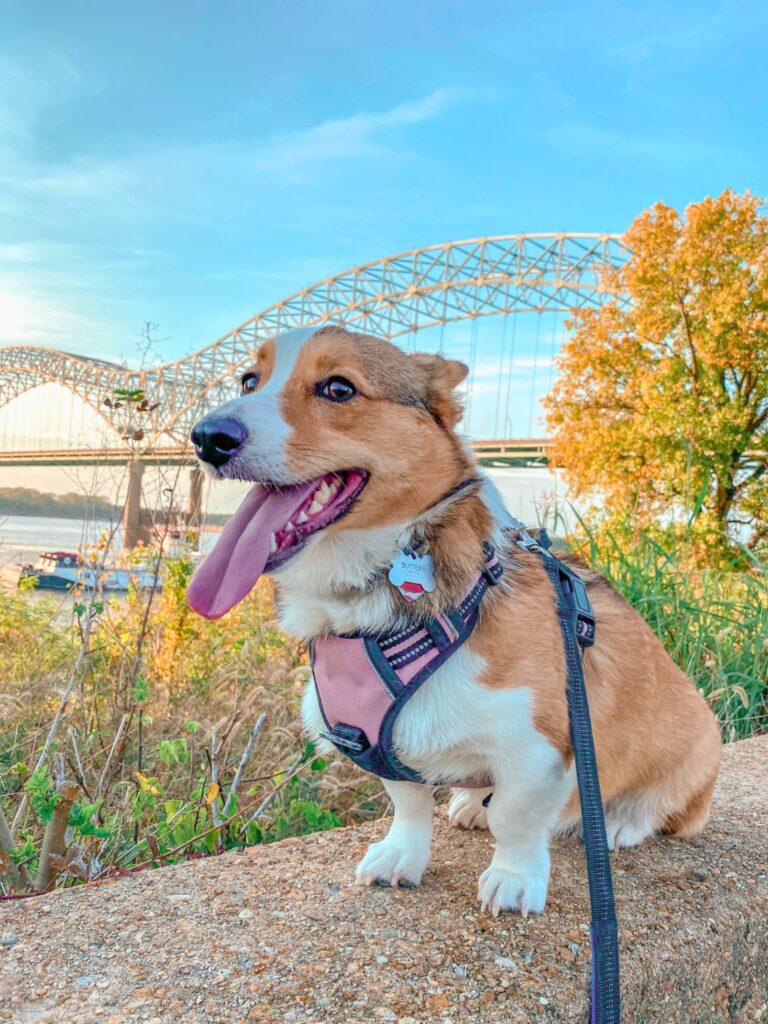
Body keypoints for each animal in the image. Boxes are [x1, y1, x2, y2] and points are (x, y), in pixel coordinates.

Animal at [186, 323, 720, 917]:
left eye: (338, 389)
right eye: (249, 380)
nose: (207, 436)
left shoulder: (540, 746)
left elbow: (516, 818)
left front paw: (514, 879)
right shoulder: (382, 747)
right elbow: (409, 802)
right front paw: (402, 855)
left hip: (697, 744)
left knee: (666, 806)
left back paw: (618, 820)